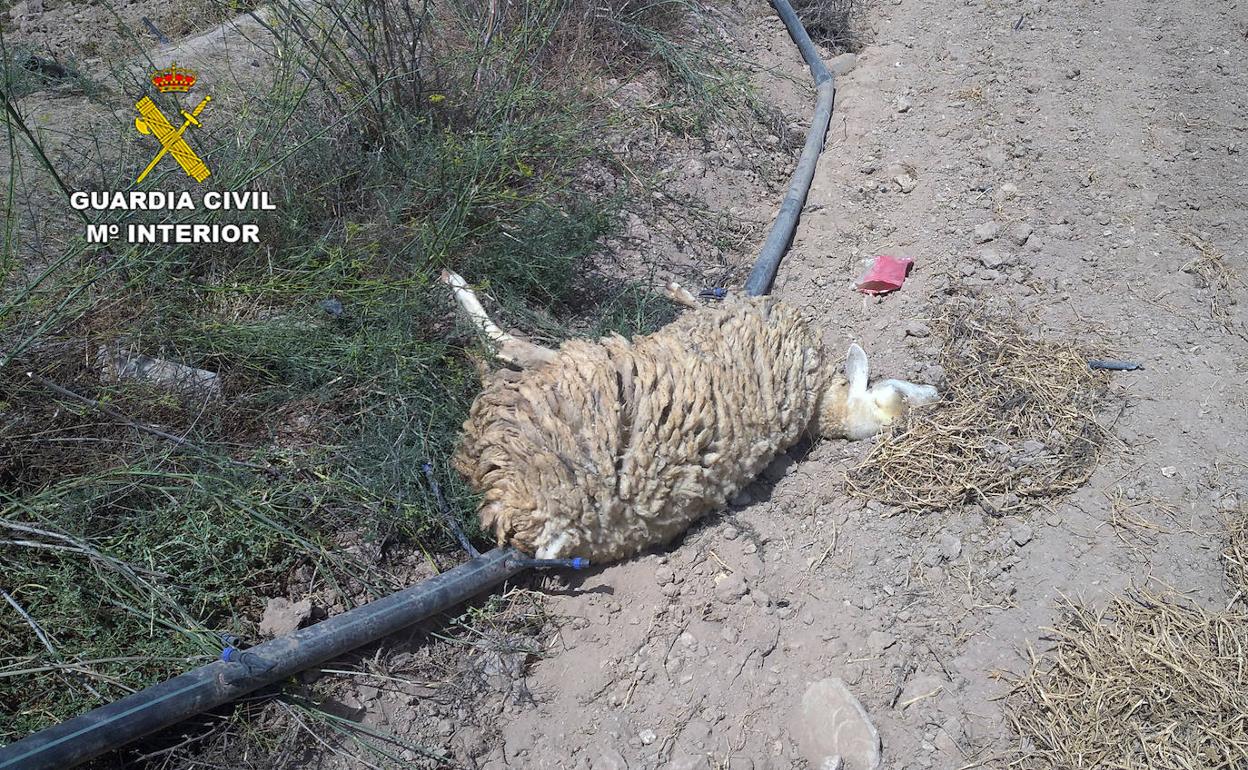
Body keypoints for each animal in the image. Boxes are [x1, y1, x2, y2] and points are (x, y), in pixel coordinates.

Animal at [441, 270, 938, 564]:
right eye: (899, 391)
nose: (937, 393)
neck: (816, 402)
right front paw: (683, 290)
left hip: (571, 378)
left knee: (511, 349)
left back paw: (460, 298)